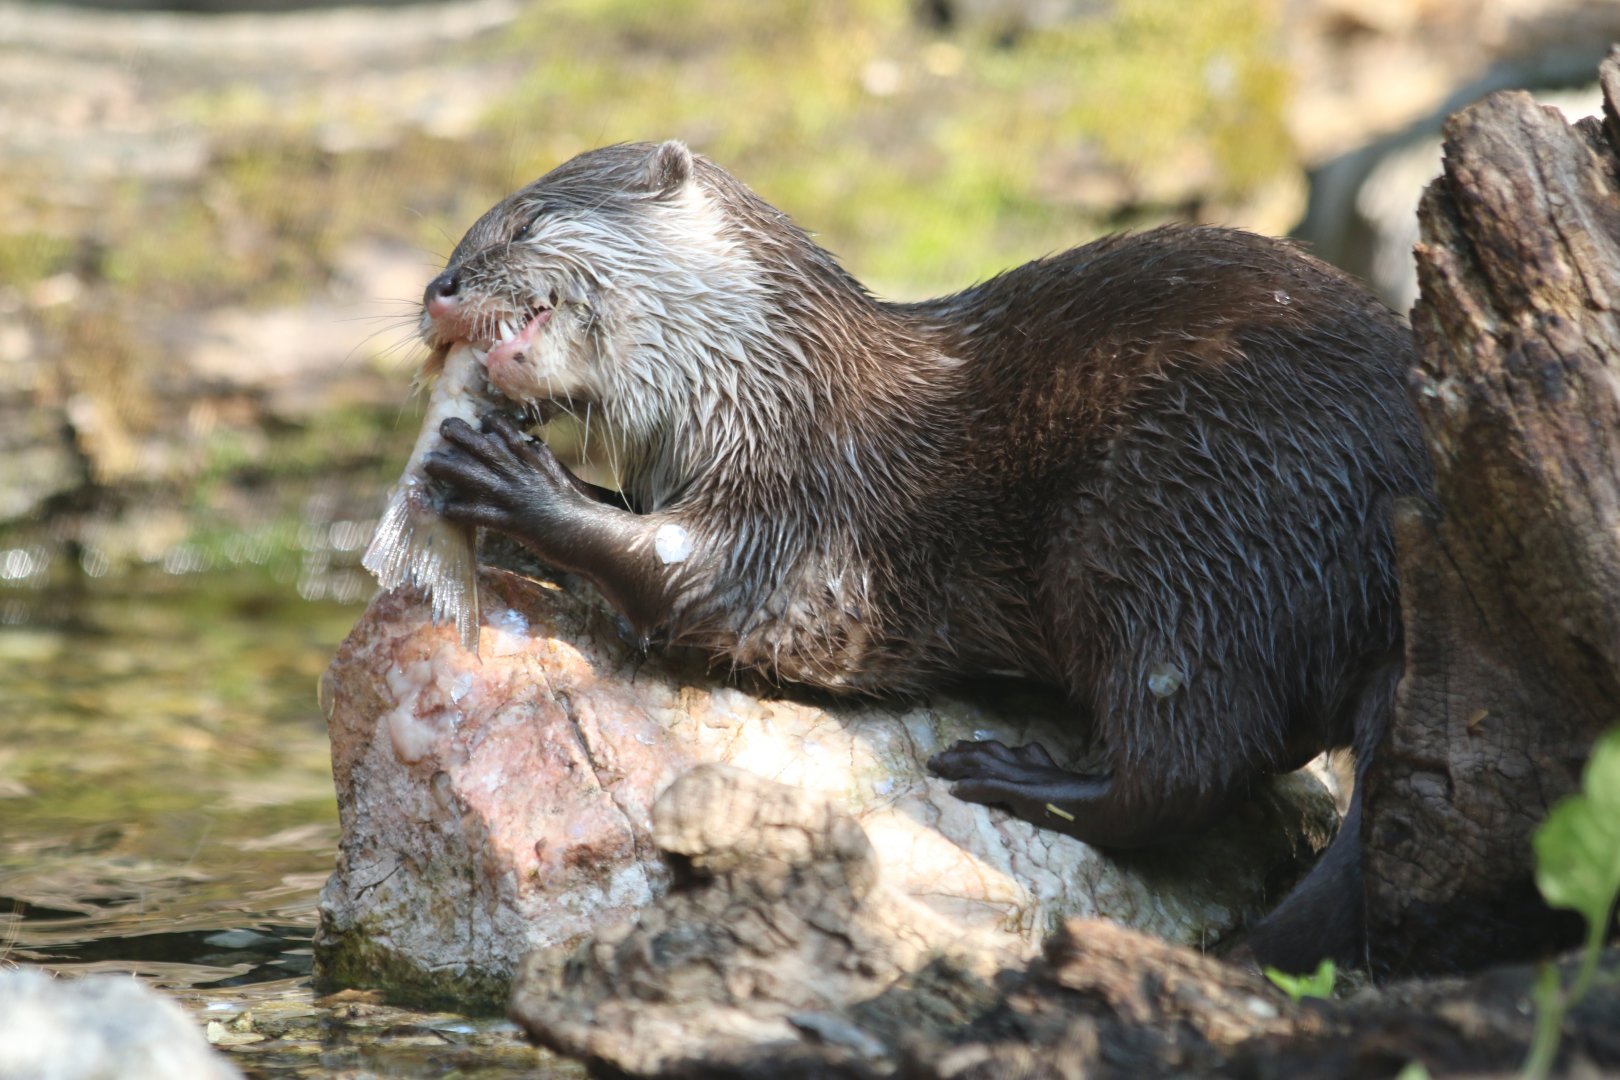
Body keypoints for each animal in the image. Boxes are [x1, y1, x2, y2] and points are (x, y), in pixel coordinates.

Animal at [416, 140, 1431, 971]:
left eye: (527, 221)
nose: (441, 286)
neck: (762, 386)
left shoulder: (812, 516)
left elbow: (701, 580)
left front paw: (513, 482)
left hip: (1180, 528)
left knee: (1191, 760)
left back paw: (1018, 775)